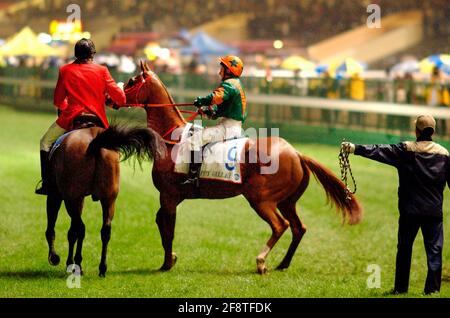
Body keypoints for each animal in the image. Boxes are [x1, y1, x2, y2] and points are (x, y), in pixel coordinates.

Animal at [44, 121, 164, 276]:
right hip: (108, 199)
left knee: (80, 228)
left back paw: (77, 264)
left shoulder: (59, 195)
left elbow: (58, 226)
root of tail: (94, 143)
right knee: (105, 230)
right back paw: (102, 268)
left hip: (72, 198)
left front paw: (56, 257)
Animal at [125, 61, 364, 274]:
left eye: (132, 81)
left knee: (280, 225)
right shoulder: (175, 196)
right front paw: (171, 258)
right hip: (286, 201)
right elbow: (160, 222)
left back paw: (261, 262)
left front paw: (167, 264)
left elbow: (168, 229)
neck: (171, 138)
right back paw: (283, 264)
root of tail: (297, 153)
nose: (116, 98)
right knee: (298, 228)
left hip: (261, 199)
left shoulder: (168, 195)